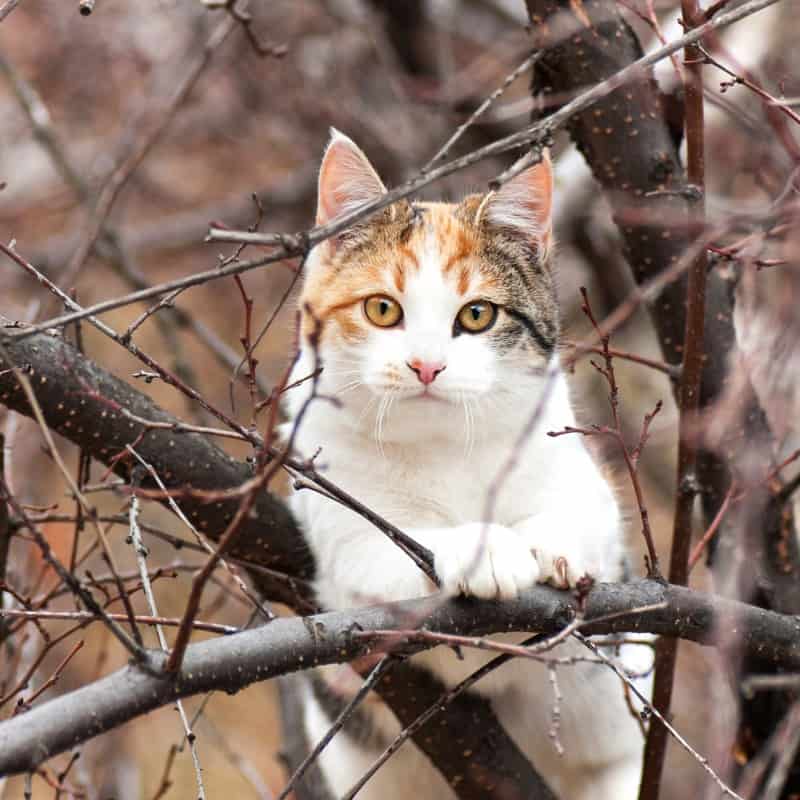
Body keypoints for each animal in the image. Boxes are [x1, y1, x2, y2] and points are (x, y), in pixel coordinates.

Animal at [284, 131, 652, 800]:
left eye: (477, 315)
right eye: (382, 310)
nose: (427, 365)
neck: (444, 443)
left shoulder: (585, 479)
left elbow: (585, 516)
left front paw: (550, 546)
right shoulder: (335, 524)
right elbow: (390, 555)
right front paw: (483, 552)